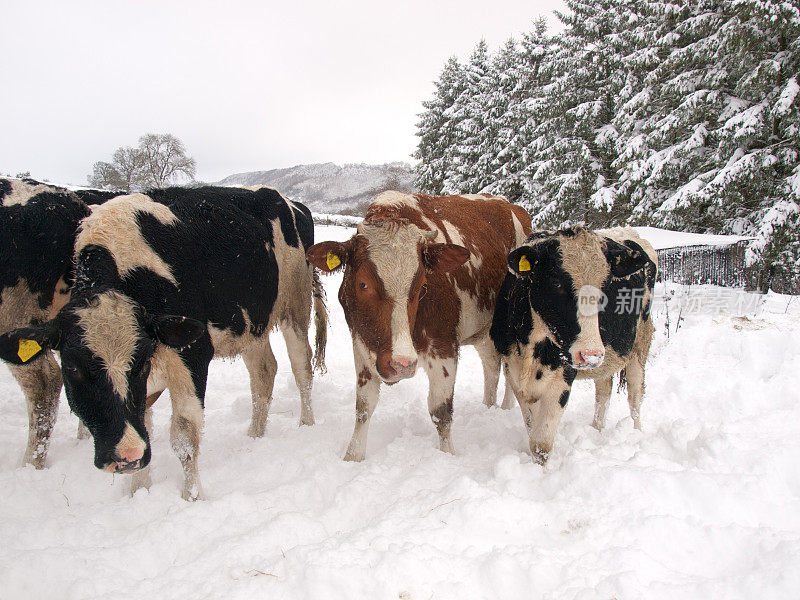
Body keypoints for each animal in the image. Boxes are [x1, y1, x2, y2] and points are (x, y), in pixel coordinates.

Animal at [306, 190, 532, 462]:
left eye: (422, 284)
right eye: (363, 284)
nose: (402, 364)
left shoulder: (444, 348)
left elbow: (441, 412)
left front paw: (447, 457)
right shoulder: (362, 344)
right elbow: (364, 406)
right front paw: (353, 457)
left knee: (509, 372)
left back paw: (506, 408)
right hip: (483, 333)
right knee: (492, 366)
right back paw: (488, 407)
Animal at [490, 225, 660, 464]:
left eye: (605, 285)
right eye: (556, 282)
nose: (590, 355)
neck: (530, 346)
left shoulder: (563, 377)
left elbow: (541, 443)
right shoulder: (514, 371)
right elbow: (531, 427)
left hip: (640, 344)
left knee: (635, 397)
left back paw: (636, 434)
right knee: (603, 392)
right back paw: (597, 429)